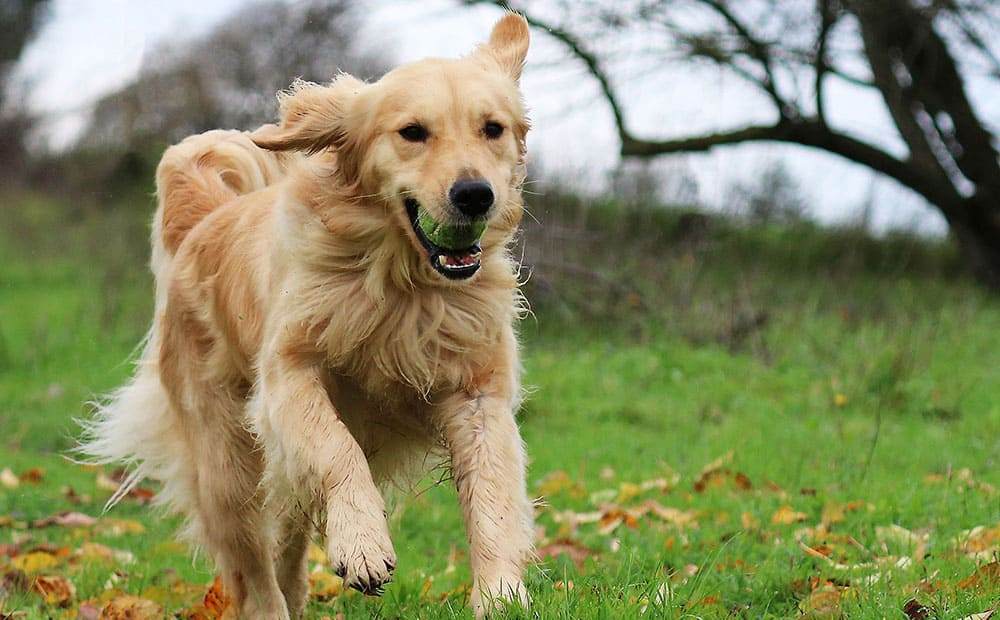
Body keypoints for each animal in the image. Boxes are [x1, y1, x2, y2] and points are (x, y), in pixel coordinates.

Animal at [82, 13, 536, 616]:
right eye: (413, 132)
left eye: (492, 129)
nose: (475, 194)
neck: (401, 285)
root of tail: (203, 221)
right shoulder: (287, 376)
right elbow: (336, 447)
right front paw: (363, 544)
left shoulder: (477, 390)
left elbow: (493, 494)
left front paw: (500, 596)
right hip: (225, 460)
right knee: (251, 566)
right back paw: (272, 604)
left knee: (287, 539)